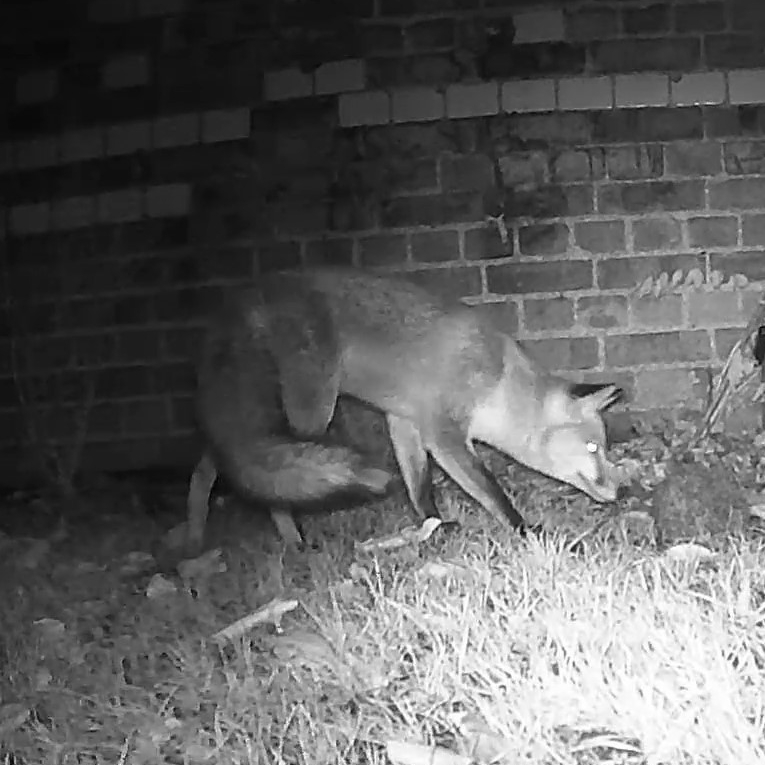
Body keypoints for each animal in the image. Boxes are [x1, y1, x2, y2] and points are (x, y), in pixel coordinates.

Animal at [186, 267, 623, 554]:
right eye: (593, 450)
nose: (617, 493)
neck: (498, 381)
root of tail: (242, 299)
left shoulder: (405, 421)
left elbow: (419, 485)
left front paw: (434, 527)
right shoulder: (443, 433)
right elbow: (490, 491)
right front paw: (526, 531)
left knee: (215, 465)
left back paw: (195, 536)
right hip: (312, 409)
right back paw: (290, 539)